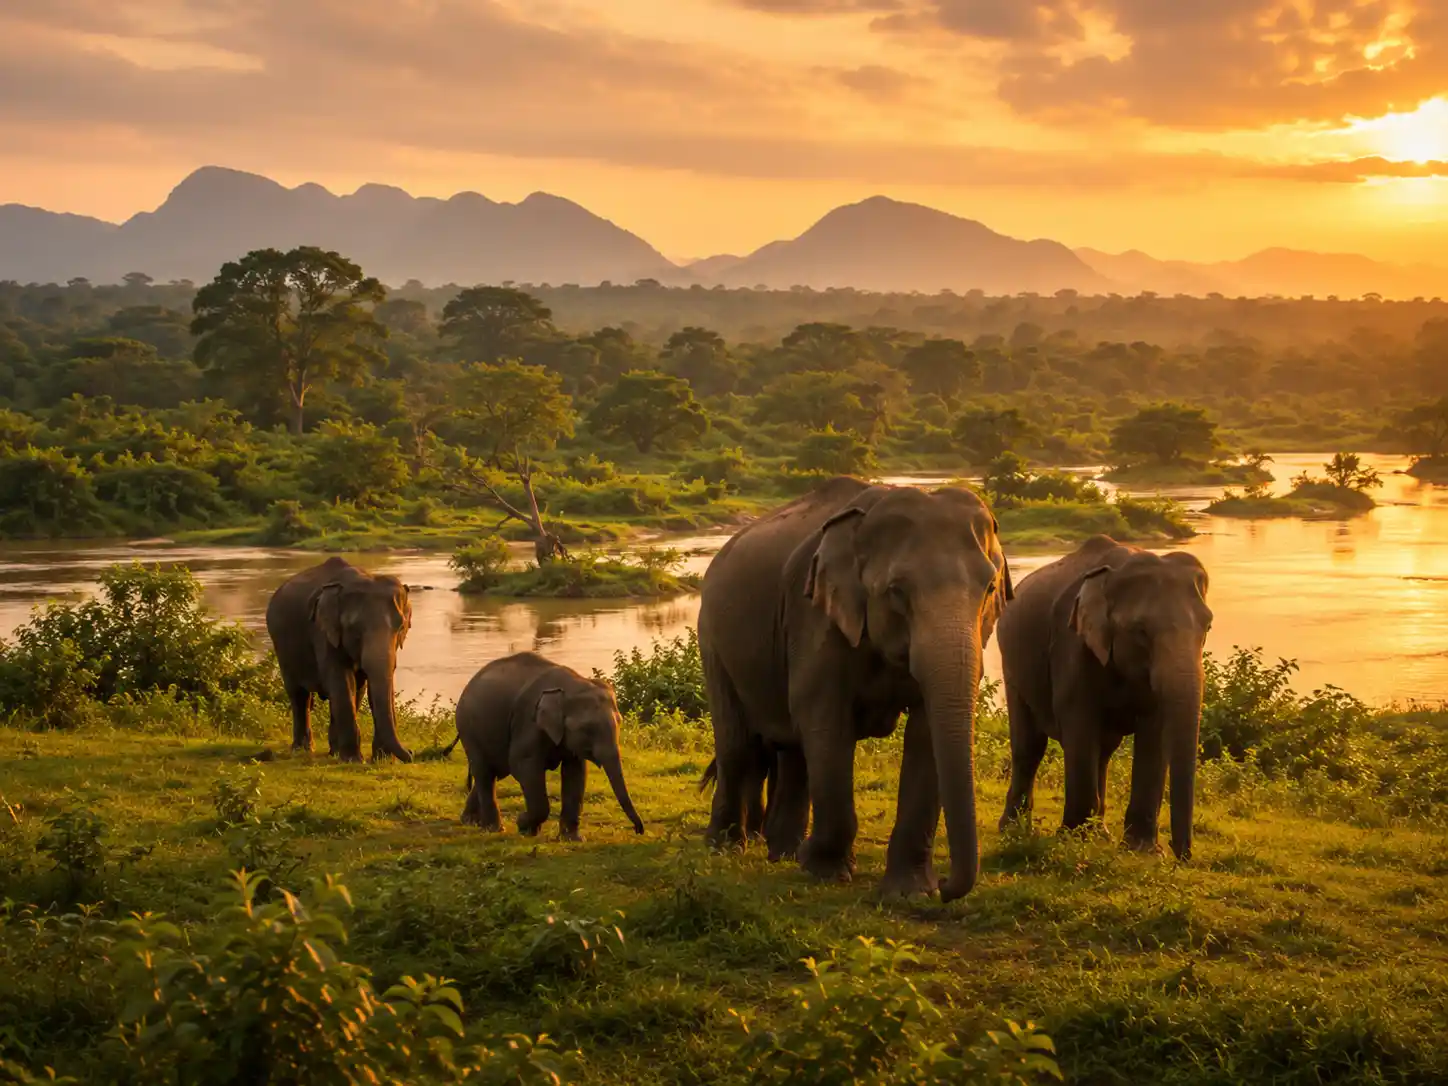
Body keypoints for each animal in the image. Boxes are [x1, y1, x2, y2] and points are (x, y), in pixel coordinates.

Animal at [265, 556, 413, 763]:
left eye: (401, 627)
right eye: (354, 628)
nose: (411, 753)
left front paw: (382, 760)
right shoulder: (322, 632)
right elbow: (341, 679)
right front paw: (354, 760)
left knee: (355, 692)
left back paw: (333, 752)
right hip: (282, 647)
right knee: (299, 695)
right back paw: (302, 750)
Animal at [442, 652, 644, 840]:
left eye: (620, 722)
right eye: (587, 729)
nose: (638, 830)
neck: (572, 685)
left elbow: (576, 772)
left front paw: (573, 839)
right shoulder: (528, 723)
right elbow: (523, 765)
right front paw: (524, 826)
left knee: (494, 771)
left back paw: (471, 822)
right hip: (469, 729)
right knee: (484, 772)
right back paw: (494, 829)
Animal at [698, 476, 1012, 902]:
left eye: (990, 588)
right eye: (897, 591)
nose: (947, 887)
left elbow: (925, 732)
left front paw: (911, 892)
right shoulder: (813, 615)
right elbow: (826, 721)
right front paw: (827, 873)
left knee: (792, 749)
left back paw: (783, 853)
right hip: (712, 640)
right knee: (737, 743)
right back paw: (726, 848)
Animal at [996, 535, 1212, 860]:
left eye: (1208, 626)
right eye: (1140, 631)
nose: (1182, 855)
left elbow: (1154, 733)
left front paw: (1144, 852)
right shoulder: (1072, 644)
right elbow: (1079, 726)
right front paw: (1074, 842)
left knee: (1103, 752)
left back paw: (1101, 834)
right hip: (1012, 663)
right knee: (1030, 746)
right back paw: (1014, 832)